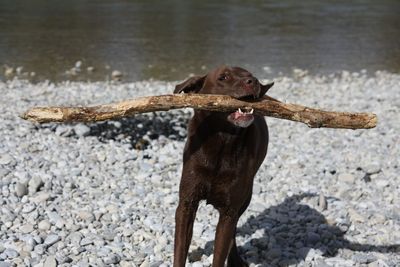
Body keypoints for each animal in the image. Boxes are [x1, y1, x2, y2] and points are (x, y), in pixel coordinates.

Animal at [173, 65, 274, 267]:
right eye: (223, 77)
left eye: (250, 75)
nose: (254, 81)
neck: (222, 141)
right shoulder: (187, 204)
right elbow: (179, 252)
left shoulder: (229, 211)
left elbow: (221, 252)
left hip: (246, 197)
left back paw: (236, 260)